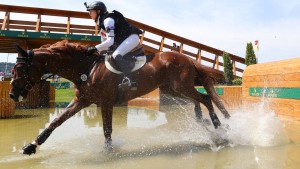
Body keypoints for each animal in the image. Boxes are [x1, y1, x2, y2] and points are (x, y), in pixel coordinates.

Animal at [9, 39, 230, 154]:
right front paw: (31, 146)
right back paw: (201, 119)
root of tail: (188, 58)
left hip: (180, 86)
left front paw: (108, 153)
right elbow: (56, 121)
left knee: (205, 99)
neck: (86, 69)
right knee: (197, 100)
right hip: (171, 89)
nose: (12, 94)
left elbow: (107, 130)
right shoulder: (82, 101)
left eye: (20, 69)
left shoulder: (105, 102)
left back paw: (219, 127)